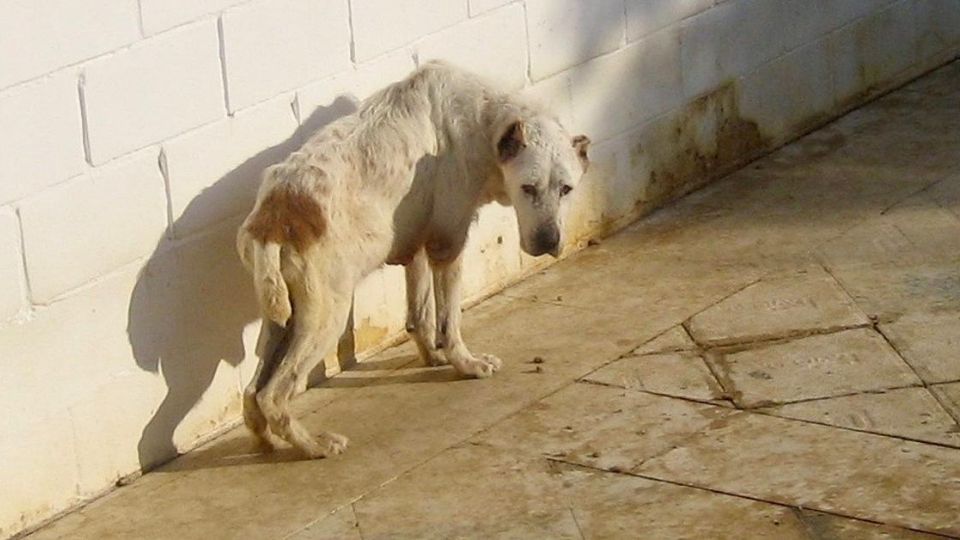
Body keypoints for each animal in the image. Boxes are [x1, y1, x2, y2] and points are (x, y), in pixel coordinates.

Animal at [236, 61, 588, 458]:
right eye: (528, 188)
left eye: (566, 189)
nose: (549, 242)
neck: (485, 120)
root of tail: (273, 217)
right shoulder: (447, 245)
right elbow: (450, 322)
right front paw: (465, 364)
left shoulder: (418, 247)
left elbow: (420, 315)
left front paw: (433, 356)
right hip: (325, 316)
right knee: (272, 395)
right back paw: (312, 445)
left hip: (283, 318)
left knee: (251, 392)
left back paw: (265, 442)